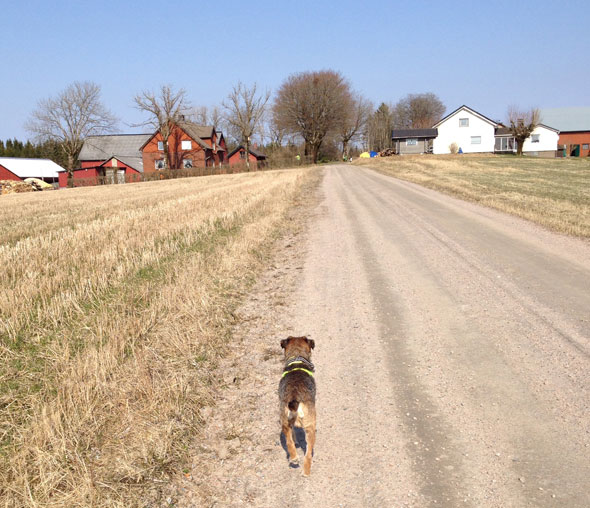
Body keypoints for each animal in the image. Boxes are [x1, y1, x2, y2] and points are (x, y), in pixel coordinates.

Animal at [278, 336, 316, 476]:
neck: (296, 357)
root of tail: (295, 398)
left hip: (284, 420)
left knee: (289, 442)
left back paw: (294, 458)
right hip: (311, 427)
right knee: (308, 453)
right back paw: (306, 471)